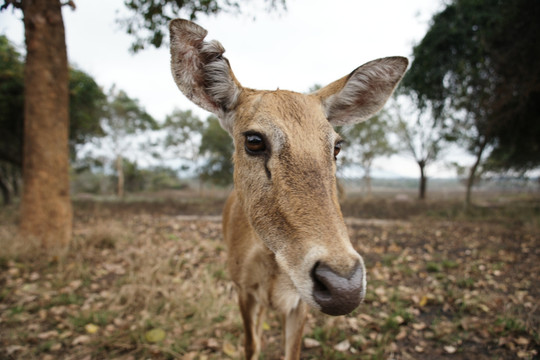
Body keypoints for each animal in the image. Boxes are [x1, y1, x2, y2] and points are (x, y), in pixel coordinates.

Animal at [169, 19, 404, 360]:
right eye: (254, 140)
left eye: (336, 145)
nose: (344, 287)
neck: (273, 271)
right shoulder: (242, 288)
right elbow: (251, 345)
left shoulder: (298, 304)